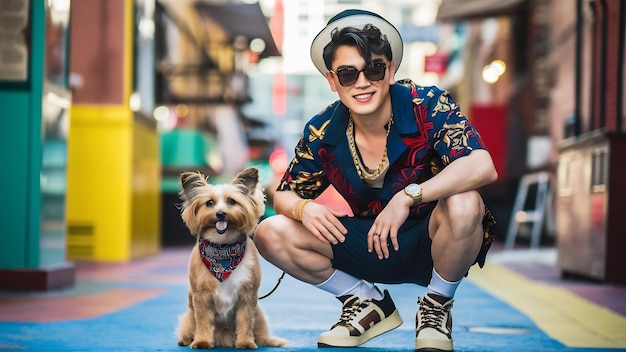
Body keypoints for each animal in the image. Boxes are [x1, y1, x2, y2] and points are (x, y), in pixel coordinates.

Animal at [174, 168, 284, 350]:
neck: (222, 248)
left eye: (231, 201)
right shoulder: (201, 296)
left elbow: (245, 320)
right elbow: (203, 322)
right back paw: (187, 339)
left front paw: (246, 342)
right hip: (189, 316)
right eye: (209, 203)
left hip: (260, 314)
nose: (220, 214)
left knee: (261, 334)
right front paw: (202, 341)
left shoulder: (247, 295)